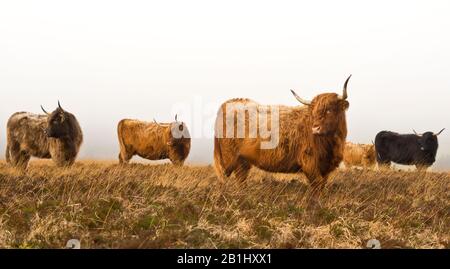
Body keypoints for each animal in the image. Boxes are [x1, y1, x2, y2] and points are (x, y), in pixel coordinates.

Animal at [213, 74, 354, 191]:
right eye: (313, 112)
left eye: (329, 110)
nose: (315, 129)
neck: (332, 143)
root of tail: (227, 104)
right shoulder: (310, 164)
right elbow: (316, 189)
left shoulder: (326, 168)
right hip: (228, 158)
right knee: (223, 179)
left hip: (242, 161)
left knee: (241, 179)